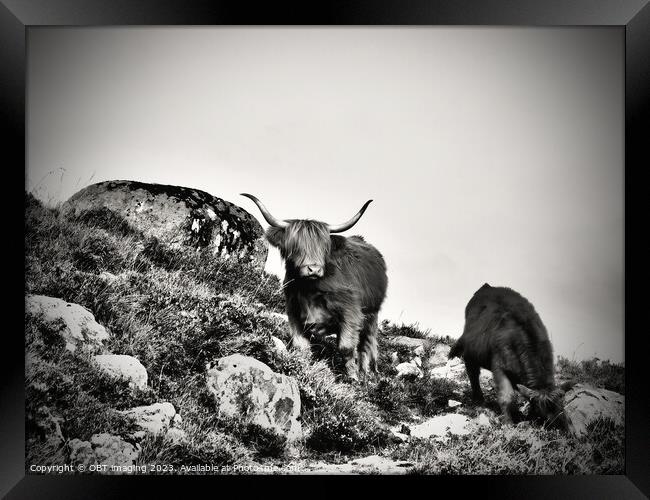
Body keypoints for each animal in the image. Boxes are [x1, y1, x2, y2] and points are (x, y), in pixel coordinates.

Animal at [242, 193, 384, 380]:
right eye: (296, 246)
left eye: (324, 247)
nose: (314, 269)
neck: (309, 289)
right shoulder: (294, 312)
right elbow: (300, 346)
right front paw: (300, 369)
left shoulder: (351, 312)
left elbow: (346, 347)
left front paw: (352, 377)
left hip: (372, 314)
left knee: (367, 344)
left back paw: (368, 373)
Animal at [448, 284, 564, 428]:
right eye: (539, 412)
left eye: (561, 410)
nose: (555, 429)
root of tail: (487, 286)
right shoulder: (499, 367)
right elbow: (507, 397)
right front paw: (508, 424)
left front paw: (517, 416)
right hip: (470, 353)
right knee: (473, 373)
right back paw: (478, 399)